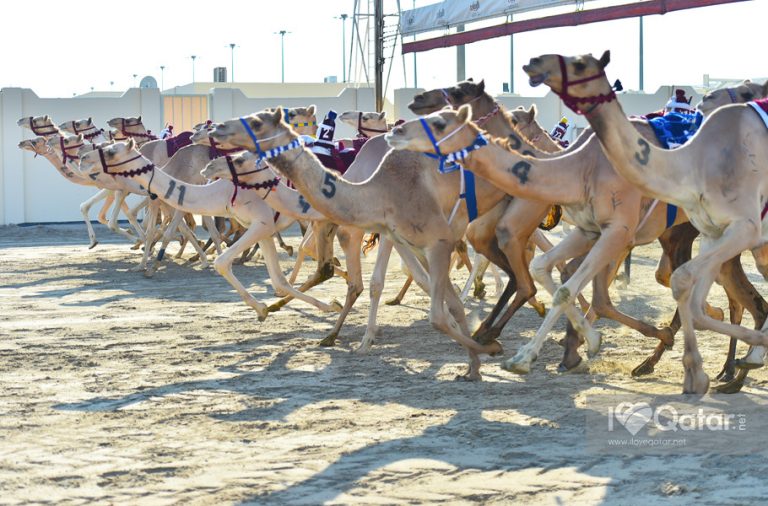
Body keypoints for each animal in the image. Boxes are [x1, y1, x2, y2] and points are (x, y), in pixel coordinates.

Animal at [77, 138, 342, 319]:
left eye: (111, 150)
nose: (82, 159)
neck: (220, 192)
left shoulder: (261, 222)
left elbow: (221, 262)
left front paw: (261, 306)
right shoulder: (263, 227)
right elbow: (278, 281)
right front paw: (327, 305)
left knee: (311, 248)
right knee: (310, 251)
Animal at [209, 108, 511, 380]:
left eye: (241, 158)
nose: (210, 165)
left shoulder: (388, 233)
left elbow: (378, 282)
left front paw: (365, 337)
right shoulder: (356, 231)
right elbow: (363, 279)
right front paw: (330, 330)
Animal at [522, 50, 768, 393]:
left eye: (580, 63)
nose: (533, 62)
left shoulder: (625, 233)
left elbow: (600, 291)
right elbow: (590, 285)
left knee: (745, 299)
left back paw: (731, 367)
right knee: (738, 297)